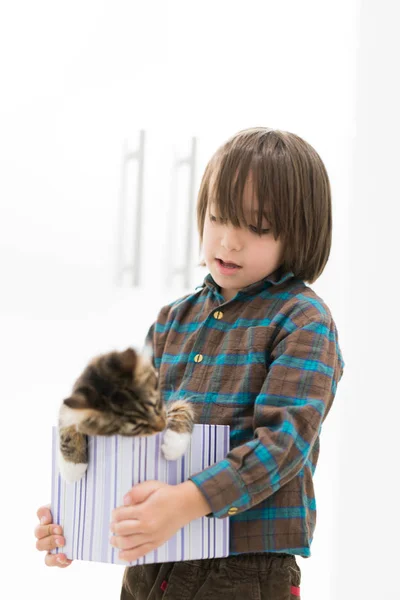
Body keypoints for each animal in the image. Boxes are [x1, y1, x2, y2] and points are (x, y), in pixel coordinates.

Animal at [58, 346, 195, 482]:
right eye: (138, 427)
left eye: (157, 404)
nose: (163, 427)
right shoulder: (68, 407)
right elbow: (66, 426)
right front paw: (72, 467)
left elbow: (183, 407)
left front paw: (175, 443)